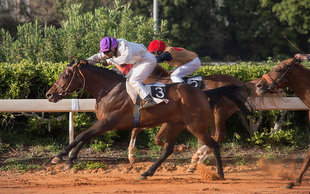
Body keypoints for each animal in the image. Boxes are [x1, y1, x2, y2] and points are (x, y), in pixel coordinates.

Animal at [44, 59, 246, 180]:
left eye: (64, 75)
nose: (49, 94)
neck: (109, 89)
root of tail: (203, 93)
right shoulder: (104, 123)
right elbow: (84, 137)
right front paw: (70, 160)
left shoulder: (109, 122)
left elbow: (81, 136)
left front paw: (58, 157)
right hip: (175, 124)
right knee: (167, 150)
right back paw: (147, 172)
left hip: (196, 126)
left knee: (215, 144)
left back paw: (219, 173)